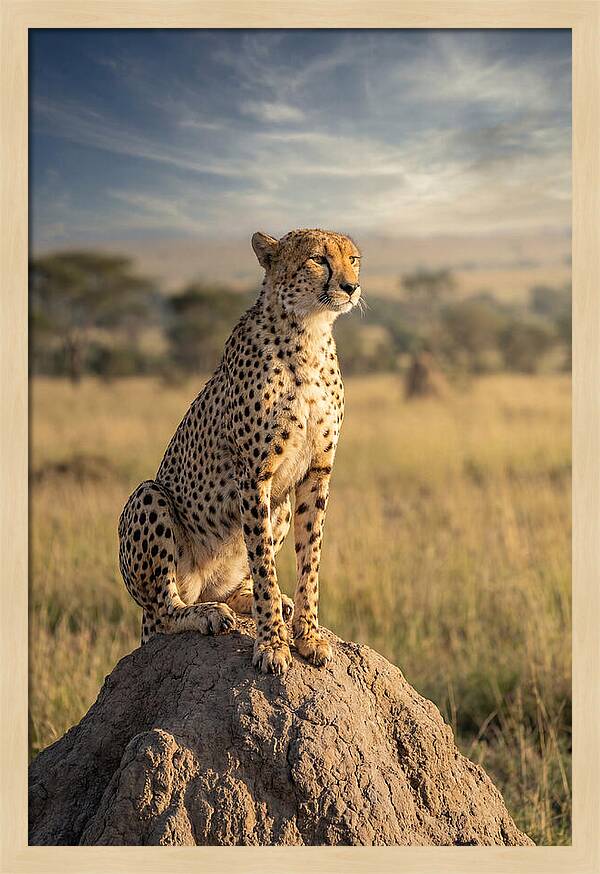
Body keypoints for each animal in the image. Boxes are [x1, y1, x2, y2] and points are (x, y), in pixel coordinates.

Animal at [118, 228, 362, 674]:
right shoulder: (254, 475)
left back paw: (253, 601)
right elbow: (264, 562)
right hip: (149, 498)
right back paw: (207, 614)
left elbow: (310, 560)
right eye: (318, 259)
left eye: (353, 259)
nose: (351, 287)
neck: (309, 333)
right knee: (164, 611)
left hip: (280, 506)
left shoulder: (317, 472)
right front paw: (272, 644)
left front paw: (308, 635)